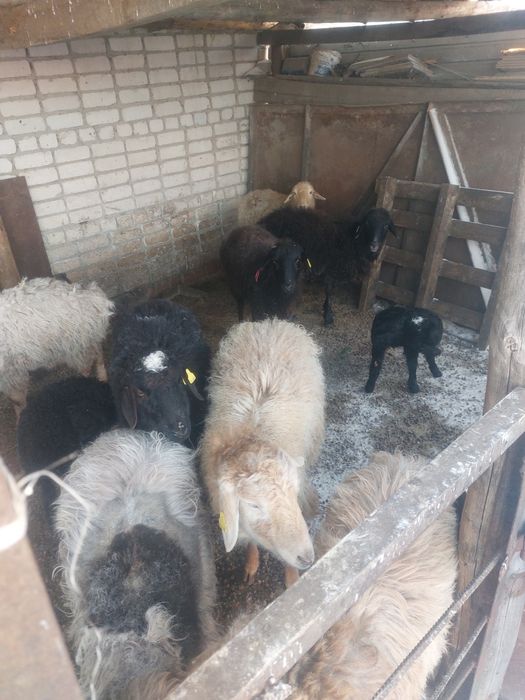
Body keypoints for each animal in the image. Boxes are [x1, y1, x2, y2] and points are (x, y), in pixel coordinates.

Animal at [0, 277, 113, 415]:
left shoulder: (11, 374)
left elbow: (17, 400)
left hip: (76, 345)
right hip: (86, 338)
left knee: (88, 363)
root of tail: (93, 296)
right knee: (98, 351)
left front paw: (20, 415)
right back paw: (102, 376)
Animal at [200, 318, 325, 587]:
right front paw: (252, 563)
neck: (251, 434)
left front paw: (292, 578)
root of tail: (270, 323)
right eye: (254, 505)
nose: (307, 557)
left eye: (293, 494)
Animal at [259, 207, 396, 326]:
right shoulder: (331, 268)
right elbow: (329, 291)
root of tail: (267, 219)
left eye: (386, 226)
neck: (353, 241)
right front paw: (328, 316)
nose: (374, 245)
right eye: (367, 223)